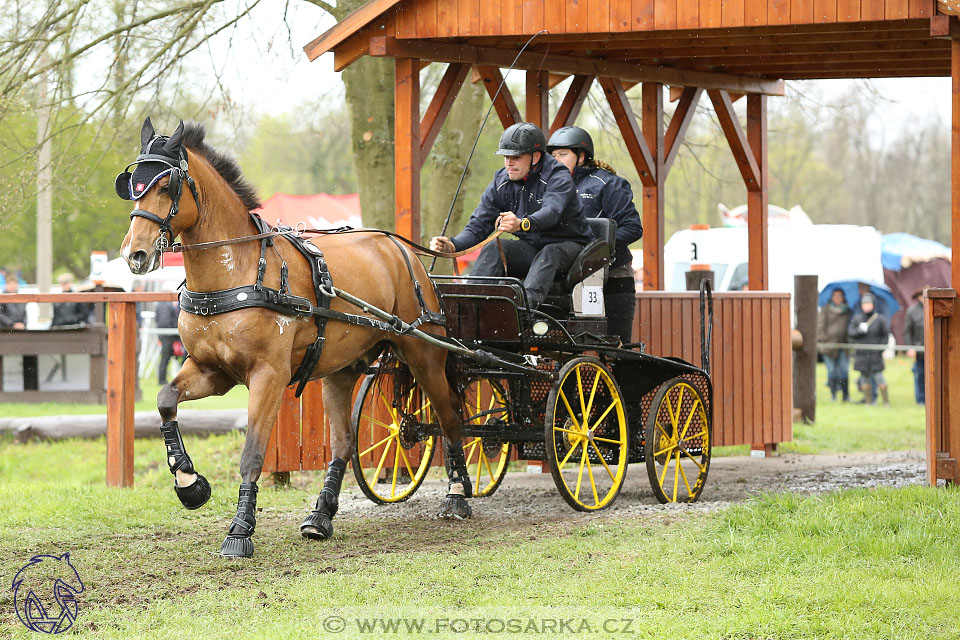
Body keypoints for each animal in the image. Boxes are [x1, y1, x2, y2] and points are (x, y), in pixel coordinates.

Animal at [120, 117, 472, 556]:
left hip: (423, 353)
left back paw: (458, 494)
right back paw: (321, 515)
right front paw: (189, 483)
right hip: (341, 369)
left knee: (449, 416)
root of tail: (401, 250)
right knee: (343, 441)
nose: (134, 254)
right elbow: (166, 400)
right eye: (131, 185)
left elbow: (253, 452)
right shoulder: (211, 370)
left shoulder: (267, 376)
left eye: (167, 187)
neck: (238, 271)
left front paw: (240, 530)